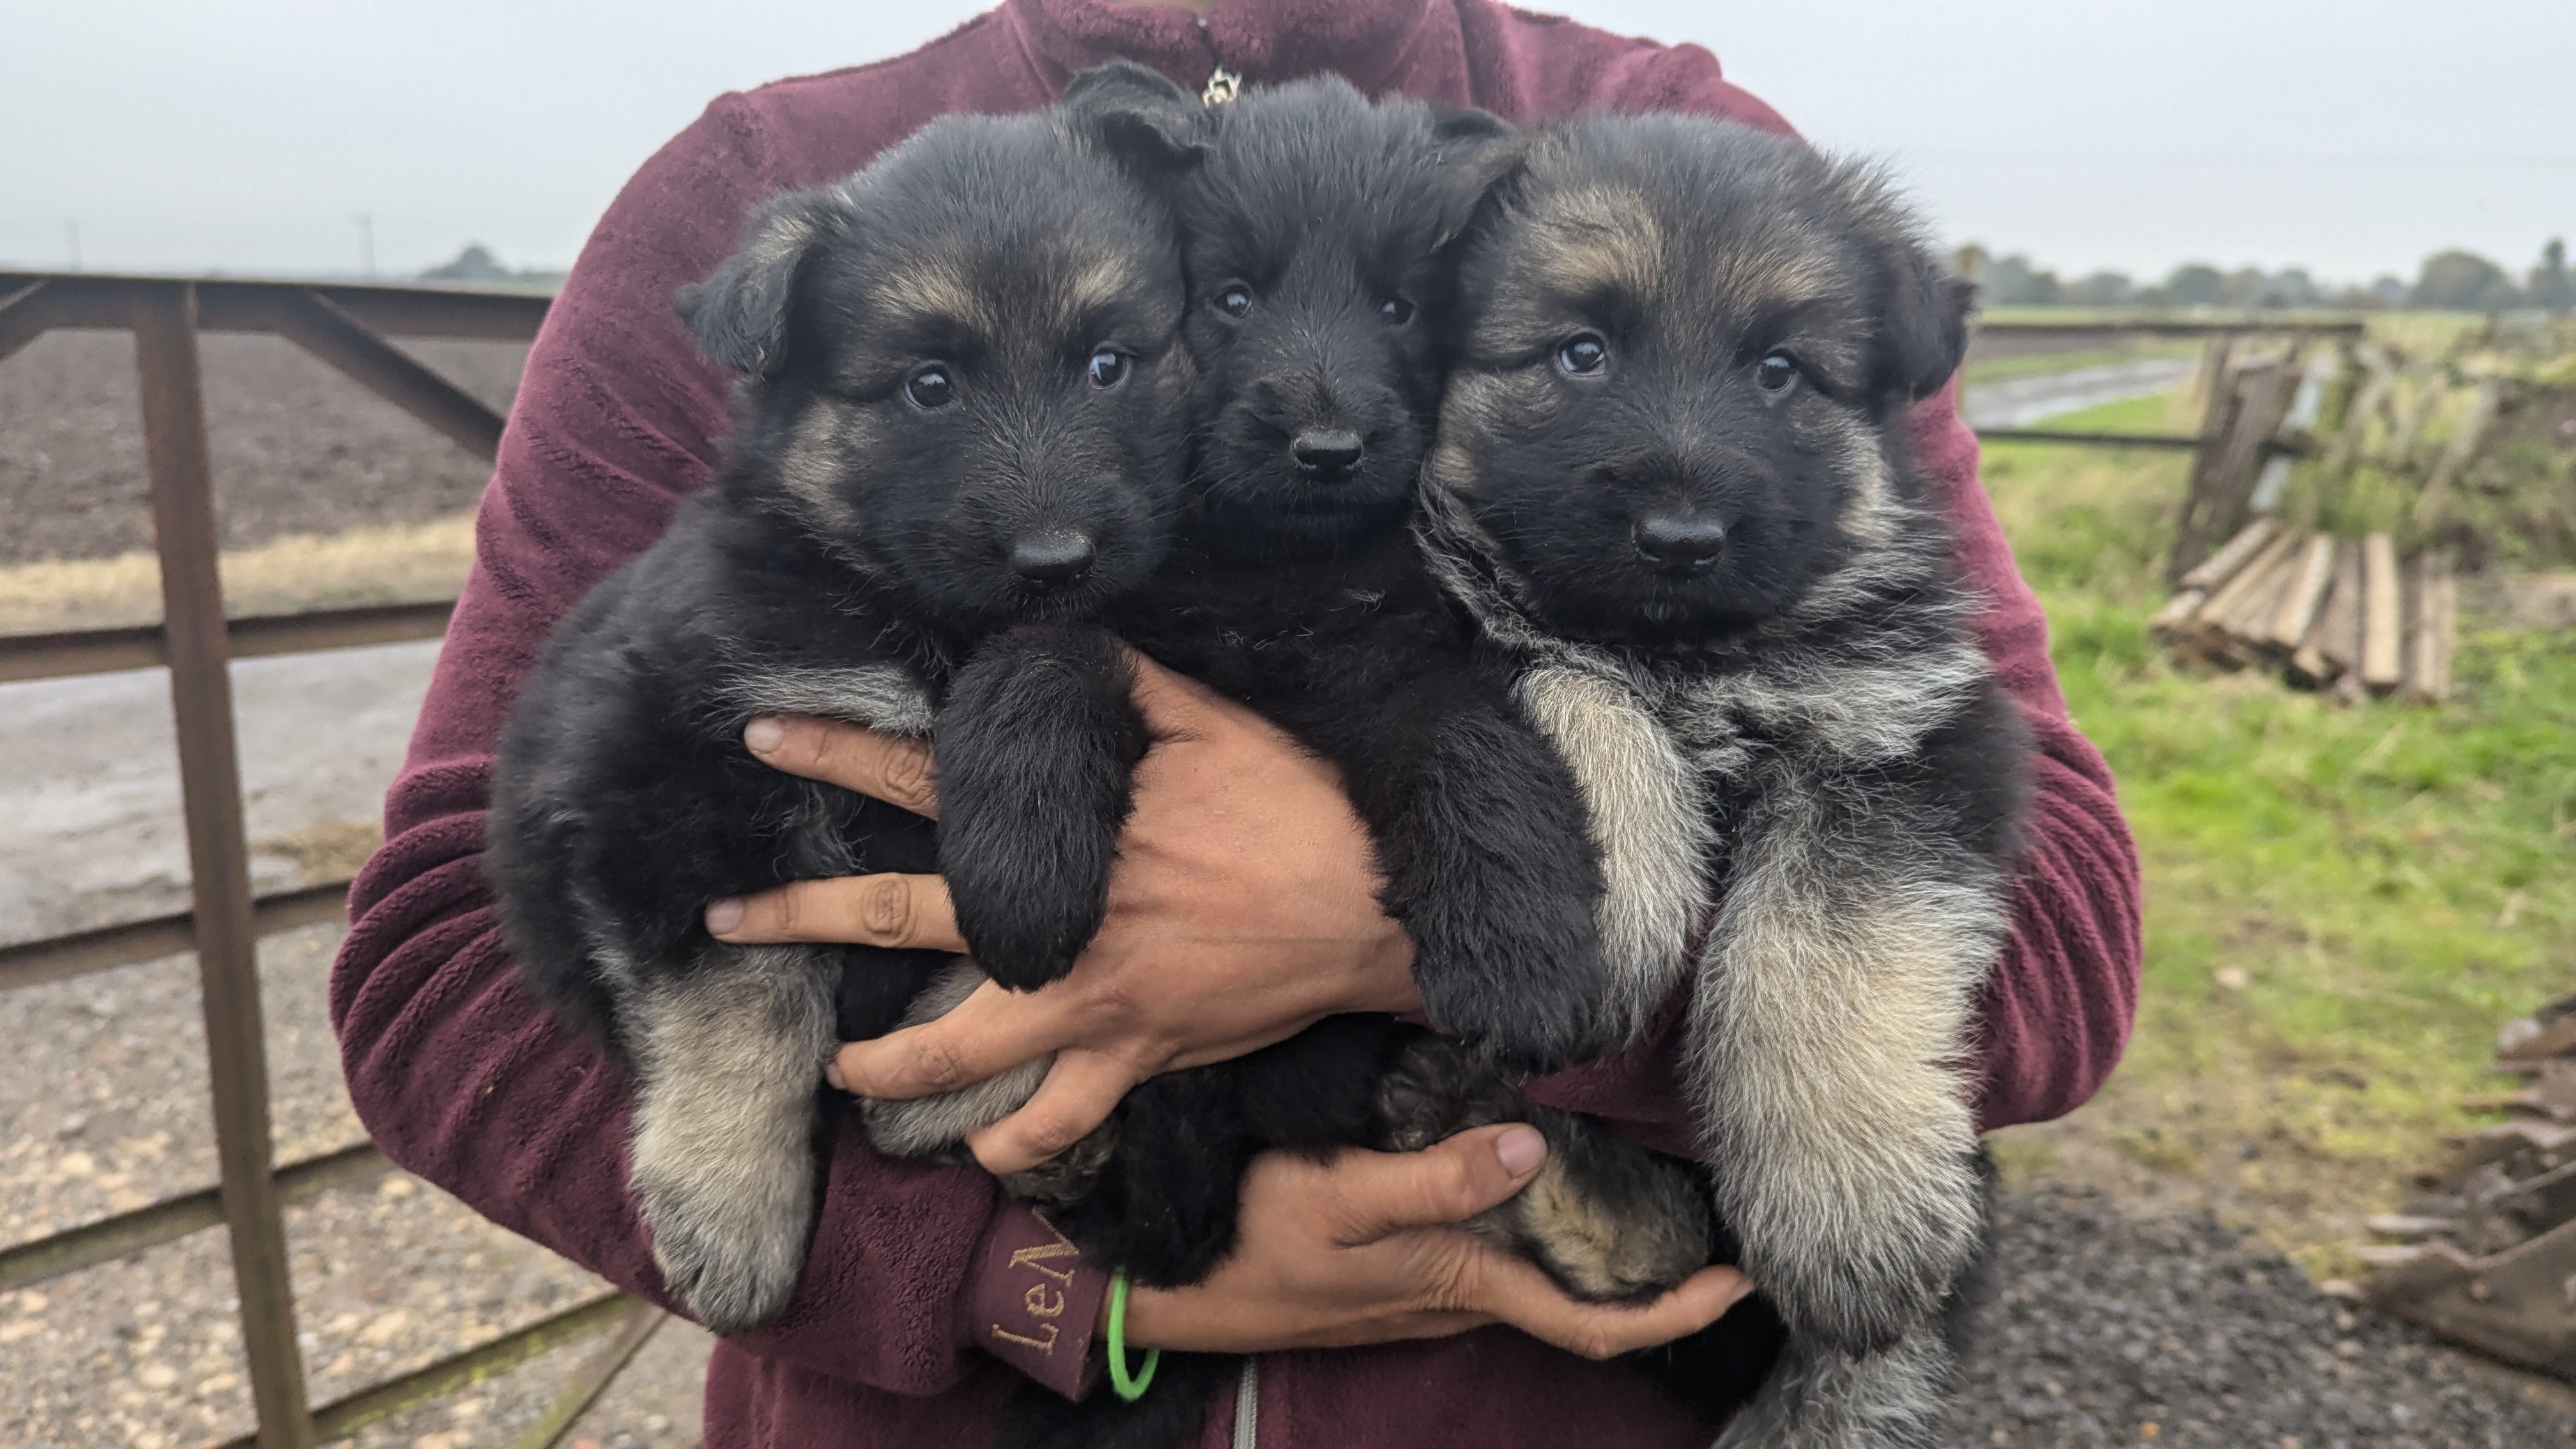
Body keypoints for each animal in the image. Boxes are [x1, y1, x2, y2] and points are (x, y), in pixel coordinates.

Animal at [1411, 115, 2030, 1443]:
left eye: (1780, 372)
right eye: (1580, 352)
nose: (1681, 539)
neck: (1687, 652)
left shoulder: (1910, 734)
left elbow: (1824, 944)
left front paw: (1848, 1198)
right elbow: (1576, 684)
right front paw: (1614, 904)